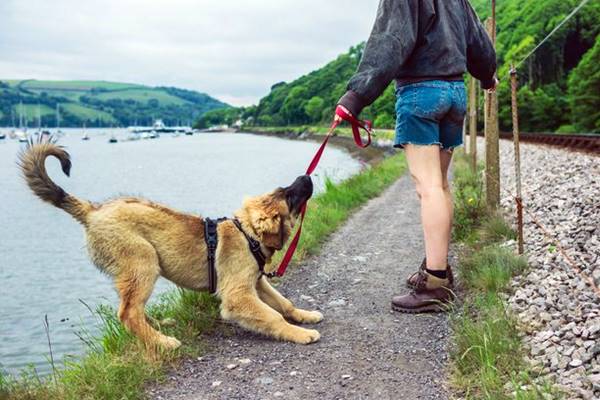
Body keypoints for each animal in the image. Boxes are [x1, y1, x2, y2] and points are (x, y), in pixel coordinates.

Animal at [19, 141, 324, 350]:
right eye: (288, 195)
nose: (306, 177)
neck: (247, 234)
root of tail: (92, 211)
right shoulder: (237, 295)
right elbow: (272, 316)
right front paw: (300, 334)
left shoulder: (257, 282)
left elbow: (283, 303)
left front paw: (304, 316)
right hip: (142, 261)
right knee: (128, 313)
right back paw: (162, 342)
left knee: (134, 311)